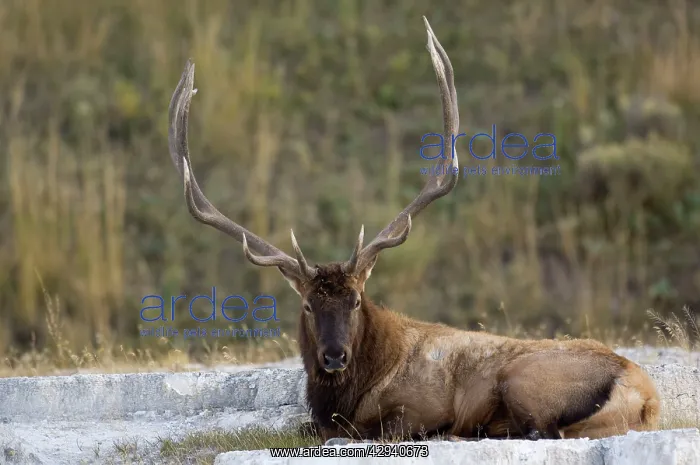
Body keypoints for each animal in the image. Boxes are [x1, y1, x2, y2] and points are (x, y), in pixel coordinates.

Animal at [167, 17, 660, 442]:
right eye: (308, 305)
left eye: (356, 300)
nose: (334, 355)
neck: (351, 393)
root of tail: (647, 399)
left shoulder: (419, 406)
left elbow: (372, 430)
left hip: (521, 377)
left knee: (541, 429)